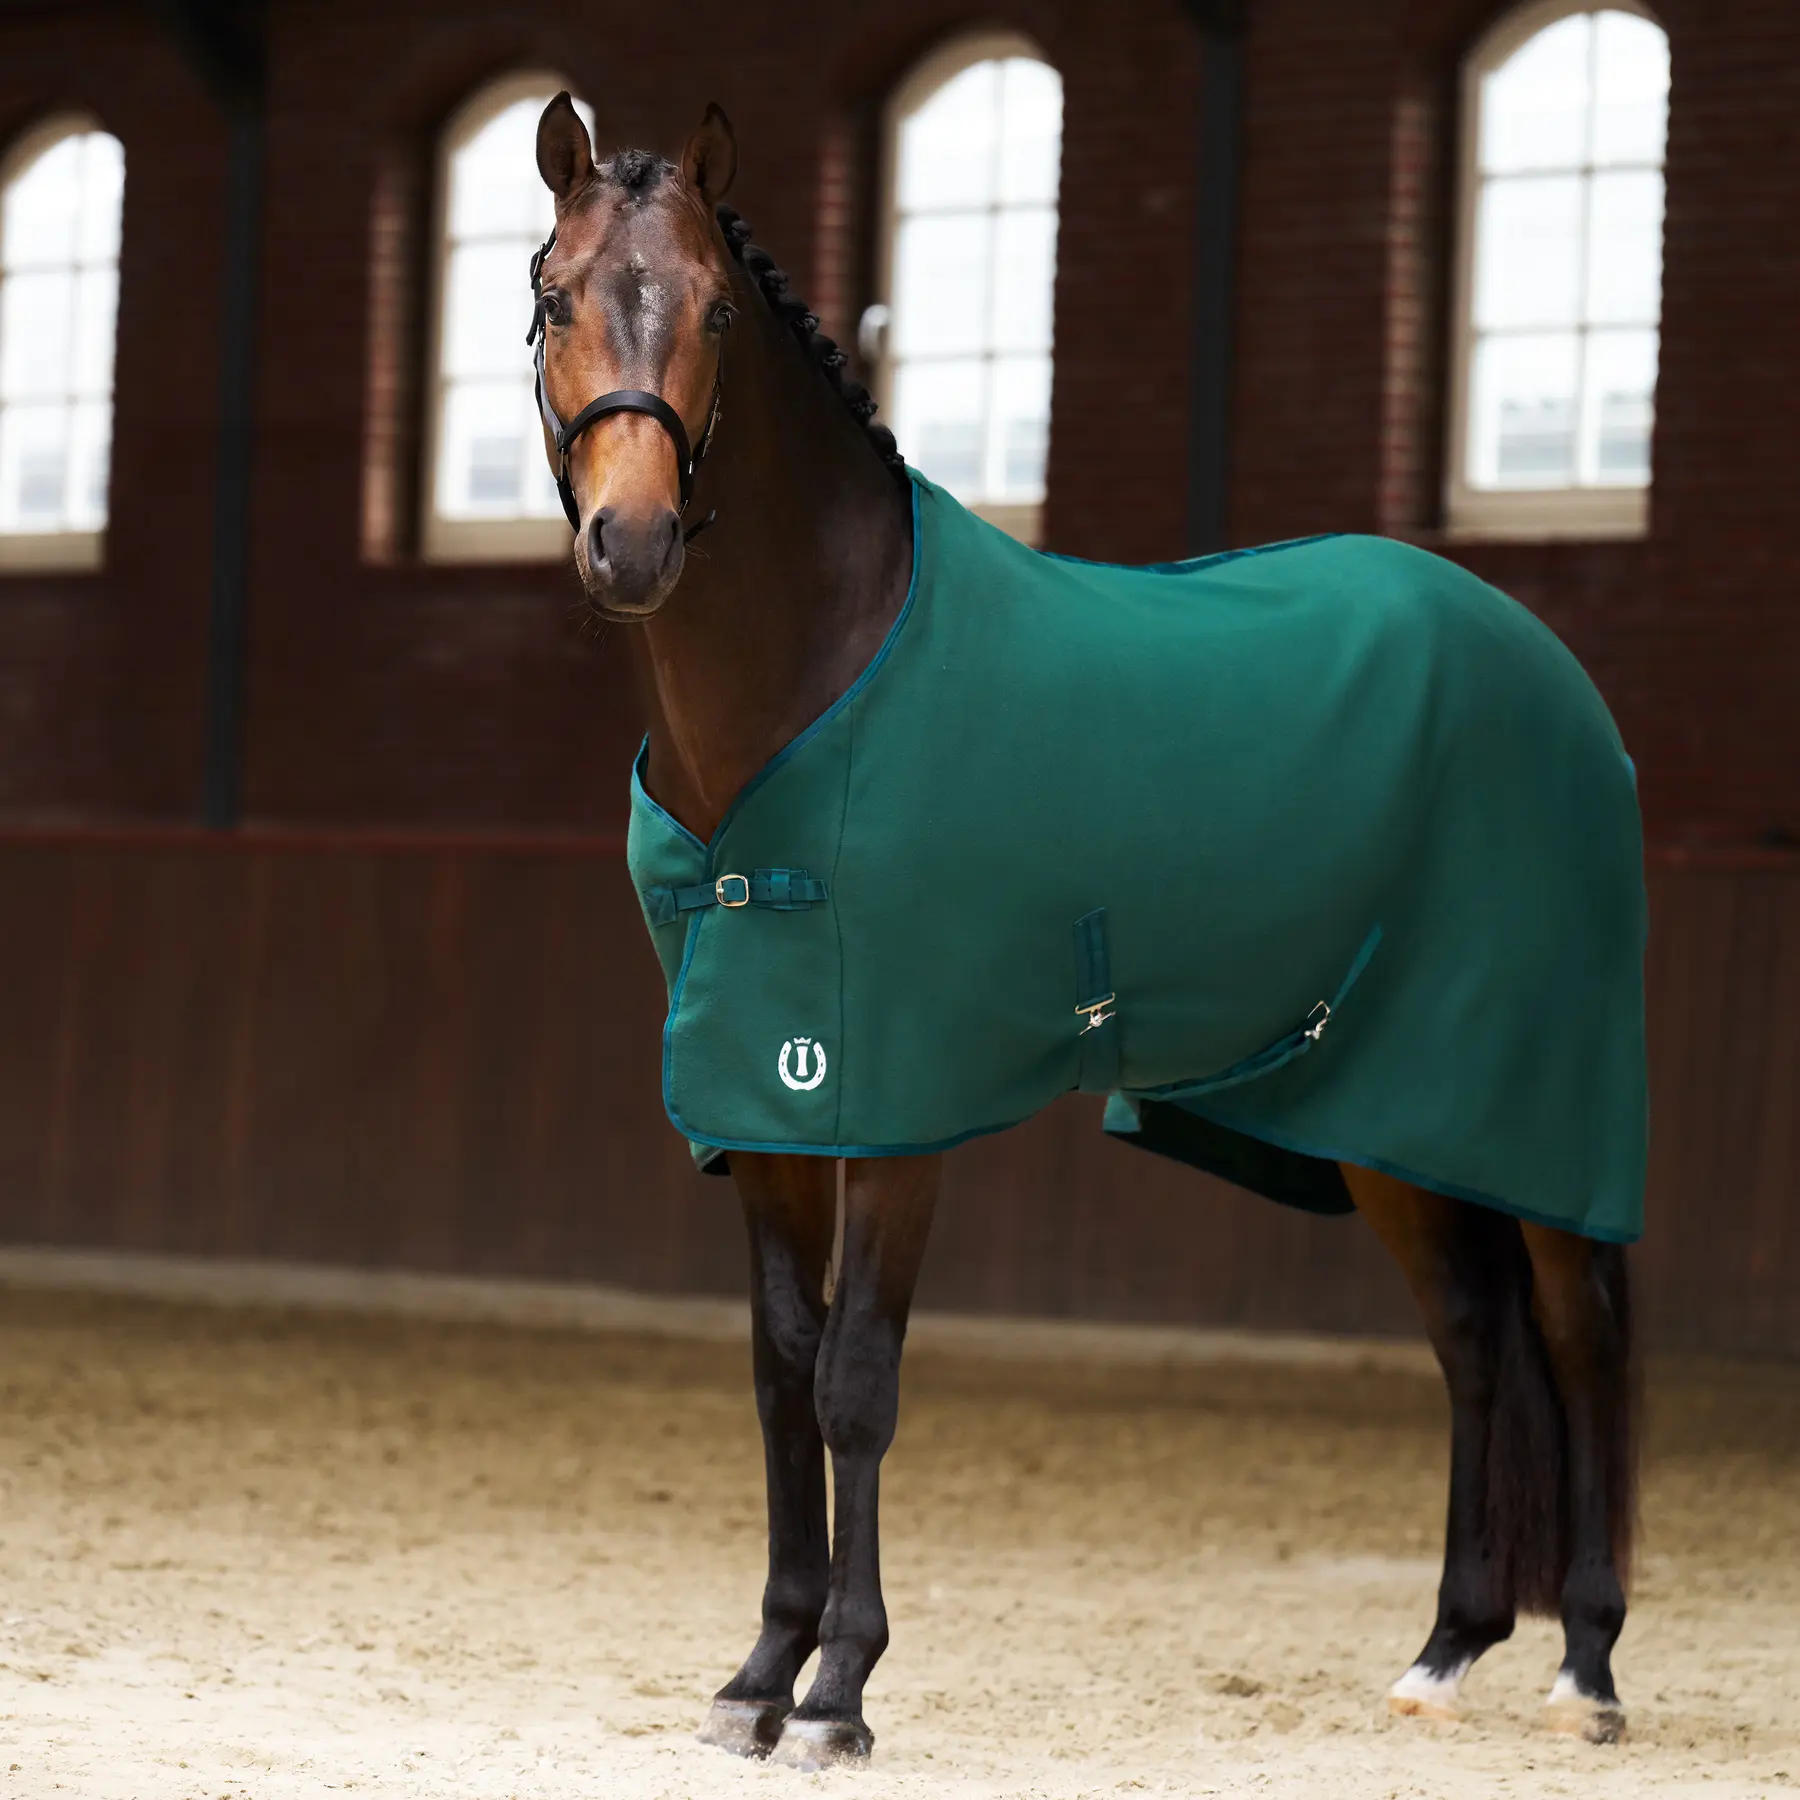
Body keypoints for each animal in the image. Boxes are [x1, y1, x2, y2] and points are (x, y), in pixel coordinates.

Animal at [525, 93, 1641, 1770]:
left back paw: (1585, 1668)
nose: (635, 541)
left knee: (1576, 1336)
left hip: (1533, 1106)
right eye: (551, 295)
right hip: (1384, 1116)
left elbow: (856, 1380)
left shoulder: (894, 1107)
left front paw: (839, 1690)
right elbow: (781, 1371)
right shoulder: (765, 1115)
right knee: (1472, 1337)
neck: (817, 679)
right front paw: (758, 1671)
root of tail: (1548, 666)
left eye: (716, 308)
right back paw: (1447, 1651)